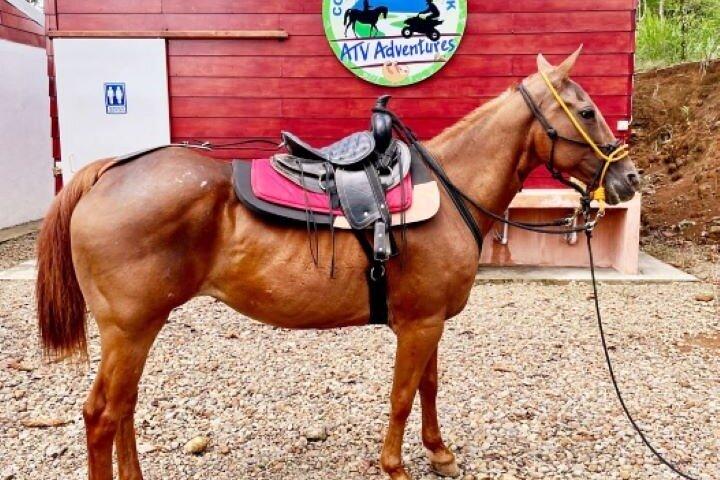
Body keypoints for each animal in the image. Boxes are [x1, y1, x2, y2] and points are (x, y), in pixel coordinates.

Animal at [36, 47, 640, 480]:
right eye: (586, 111)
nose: (629, 178)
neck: (452, 191)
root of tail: (110, 171)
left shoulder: (428, 321)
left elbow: (428, 388)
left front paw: (439, 453)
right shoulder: (419, 324)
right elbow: (402, 396)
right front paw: (396, 467)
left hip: (138, 330)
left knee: (123, 409)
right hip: (129, 328)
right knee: (101, 415)